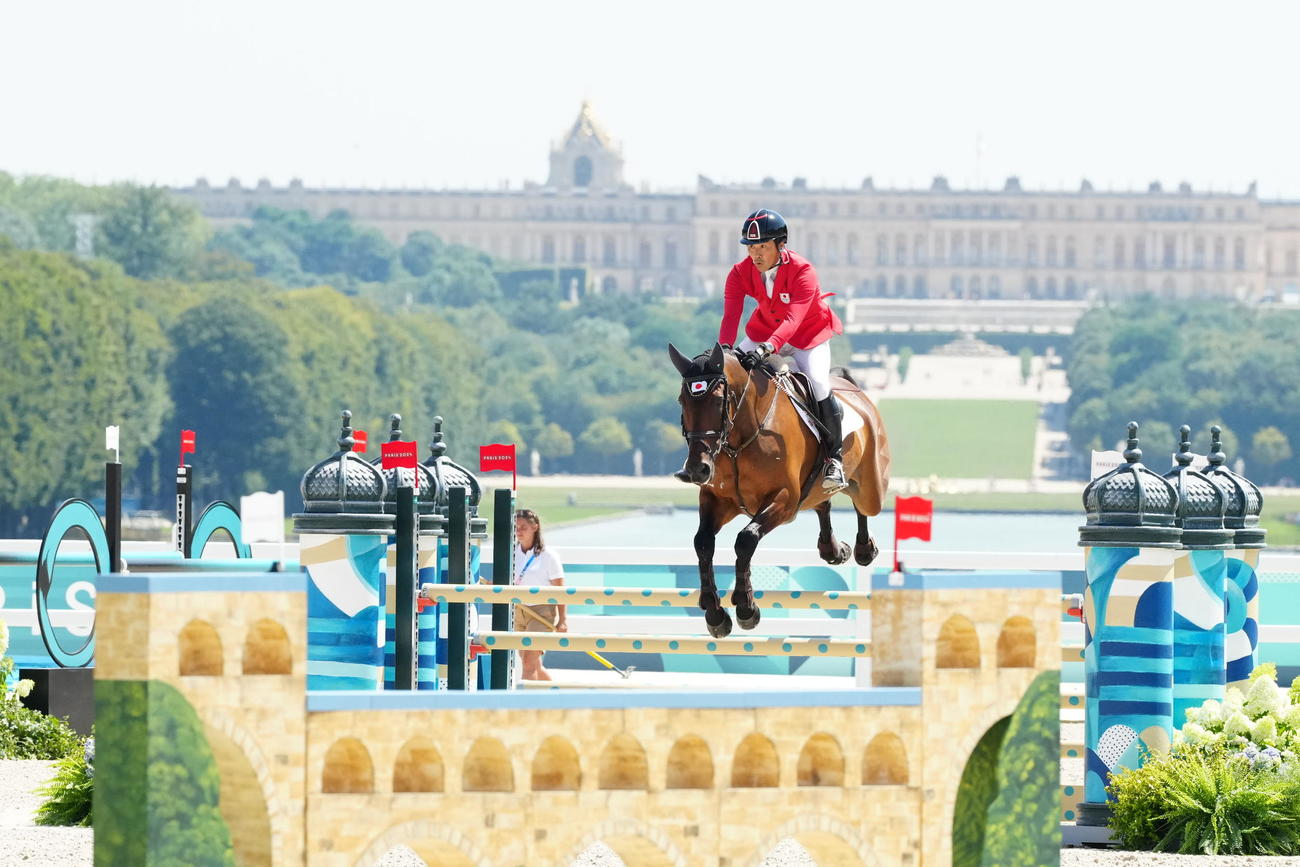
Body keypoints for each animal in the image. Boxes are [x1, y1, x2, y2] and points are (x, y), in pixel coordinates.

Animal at [668, 342, 890, 638]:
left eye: (717, 401)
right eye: (682, 401)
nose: (697, 470)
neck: (741, 436)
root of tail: (851, 386)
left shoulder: (783, 500)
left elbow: (746, 539)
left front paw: (746, 608)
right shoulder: (717, 499)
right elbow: (703, 542)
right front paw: (714, 613)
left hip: (870, 486)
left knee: (862, 504)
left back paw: (864, 549)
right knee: (822, 503)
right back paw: (832, 549)